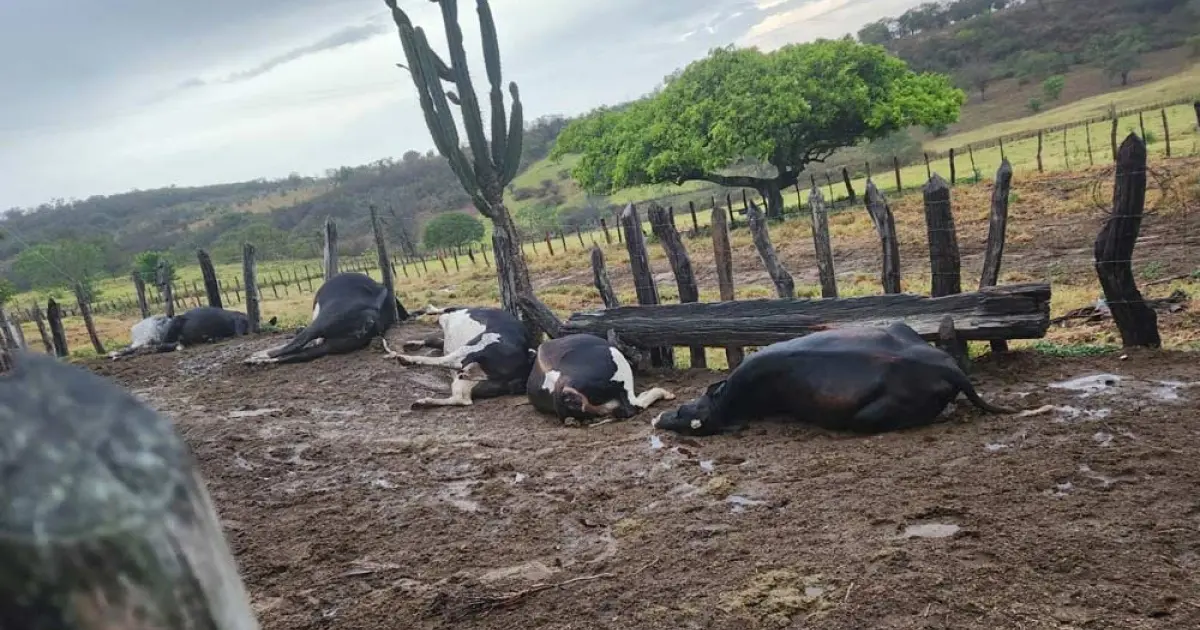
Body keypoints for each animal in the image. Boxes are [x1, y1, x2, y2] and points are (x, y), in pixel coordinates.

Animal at [384, 304, 535, 408]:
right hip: (479, 382)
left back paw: (405, 359)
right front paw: (411, 344)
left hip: (476, 346)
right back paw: (422, 402)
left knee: (447, 361)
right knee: (463, 398)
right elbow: (433, 340)